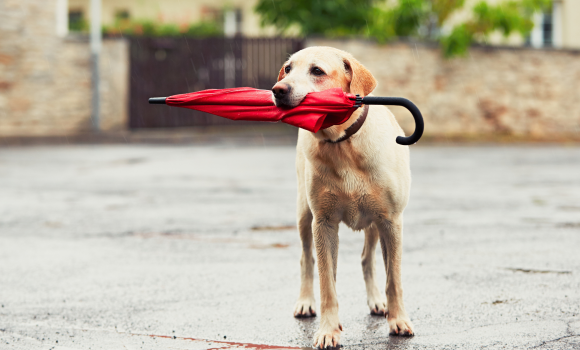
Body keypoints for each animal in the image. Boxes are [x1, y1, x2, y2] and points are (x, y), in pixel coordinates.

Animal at [272, 47, 412, 348]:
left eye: (317, 71)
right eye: (288, 69)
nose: (278, 90)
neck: (343, 144)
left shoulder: (391, 221)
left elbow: (393, 278)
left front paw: (398, 320)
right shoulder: (323, 223)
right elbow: (327, 283)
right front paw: (328, 330)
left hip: (374, 223)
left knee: (367, 258)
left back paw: (376, 301)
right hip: (304, 215)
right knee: (308, 260)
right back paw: (305, 302)